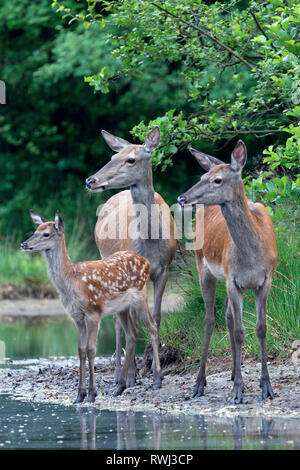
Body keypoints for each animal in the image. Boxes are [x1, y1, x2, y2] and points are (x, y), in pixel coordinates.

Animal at [20, 210, 162, 404]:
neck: (71, 281)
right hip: (122, 307)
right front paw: (79, 395)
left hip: (140, 295)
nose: (24, 244)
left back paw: (156, 380)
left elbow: (91, 350)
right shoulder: (77, 316)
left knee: (152, 327)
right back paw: (120, 387)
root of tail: (146, 261)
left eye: (46, 234)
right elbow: (80, 350)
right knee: (132, 333)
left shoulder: (94, 311)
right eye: (36, 230)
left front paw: (91, 394)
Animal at [85, 126, 177, 386]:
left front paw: (155, 370)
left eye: (131, 159)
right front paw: (133, 373)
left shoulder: (165, 269)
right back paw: (121, 373)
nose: (90, 180)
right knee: (118, 321)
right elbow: (133, 321)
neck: (151, 240)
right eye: (112, 156)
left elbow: (156, 316)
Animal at [177, 140, 278, 404]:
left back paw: (234, 373)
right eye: (202, 176)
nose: (182, 197)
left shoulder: (265, 280)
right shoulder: (233, 280)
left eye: (217, 180)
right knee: (210, 319)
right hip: (203, 267)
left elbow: (261, 328)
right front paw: (237, 392)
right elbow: (241, 331)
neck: (251, 257)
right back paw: (200, 383)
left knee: (228, 316)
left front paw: (266, 387)